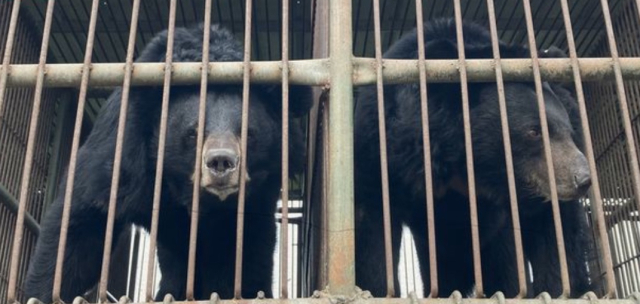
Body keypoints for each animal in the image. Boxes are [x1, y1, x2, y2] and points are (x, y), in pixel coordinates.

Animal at [25, 23, 312, 302]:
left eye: (248, 133)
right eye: (193, 132)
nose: (221, 162)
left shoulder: (259, 196)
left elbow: (245, 251)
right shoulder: (121, 151)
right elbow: (83, 223)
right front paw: (38, 294)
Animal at [356, 19, 596, 300]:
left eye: (569, 132)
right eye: (533, 131)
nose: (583, 179)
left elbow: (555, 242)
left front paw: (558, 290)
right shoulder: (381, 152)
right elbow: (373, 230)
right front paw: (375, 290)